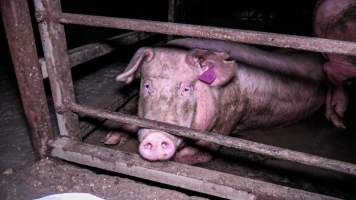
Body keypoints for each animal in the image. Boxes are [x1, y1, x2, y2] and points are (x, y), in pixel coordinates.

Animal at [115, 38, 326, 164]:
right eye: (147, 86)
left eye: (186, 88)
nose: (156, 137)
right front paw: (111, 139)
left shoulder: (236, 110)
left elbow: (215, 140)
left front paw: (184, 157)